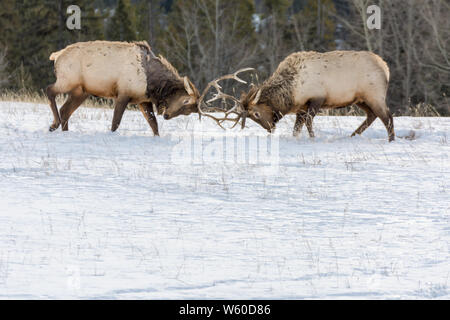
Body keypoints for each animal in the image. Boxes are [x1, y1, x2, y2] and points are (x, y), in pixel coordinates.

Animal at [45, 40, 199, 135]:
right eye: (185, 101)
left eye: (188, 112)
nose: (167, 115)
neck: (153, 84)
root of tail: (56, 55)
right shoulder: (123, 94)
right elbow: (115, 122)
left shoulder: (143, 100)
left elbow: (153, 124)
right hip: (67, 80)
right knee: (49, 90)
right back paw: (54, 124)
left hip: (81, 91)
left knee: (65, 110)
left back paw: (64, 130)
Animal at [236, 50, 394, 141]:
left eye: (256, 114)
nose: (269, 128)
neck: (292, 92)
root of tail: (386, 68)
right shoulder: (301, 107)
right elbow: (297, 128)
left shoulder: (317, 98)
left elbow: (308, 122)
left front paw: (312, 138)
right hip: (360, 99)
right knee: (372, 115)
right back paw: (352, 135)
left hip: (374, 94)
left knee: (387, 116)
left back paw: (391, 140)